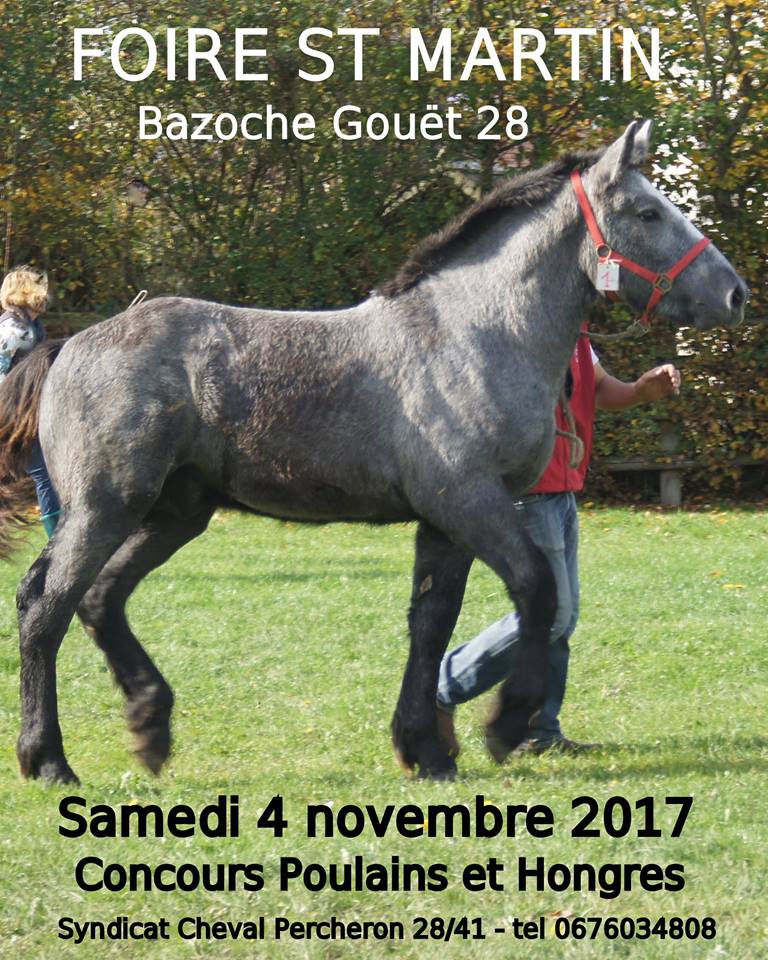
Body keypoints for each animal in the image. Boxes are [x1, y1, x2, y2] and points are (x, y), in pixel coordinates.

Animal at [0, 120, 744, 784]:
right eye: (648, 211)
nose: (734, 293)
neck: (473, 332)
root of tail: (65, 347)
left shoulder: (445, 522)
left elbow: (431, 624)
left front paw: (426, 749)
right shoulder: (471, 501)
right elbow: (536, 588)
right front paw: (504, 726)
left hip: (174, 513)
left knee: (99, 598)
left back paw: (150, 727)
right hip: (105, 509)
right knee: (46, 607)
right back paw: (50, 761)